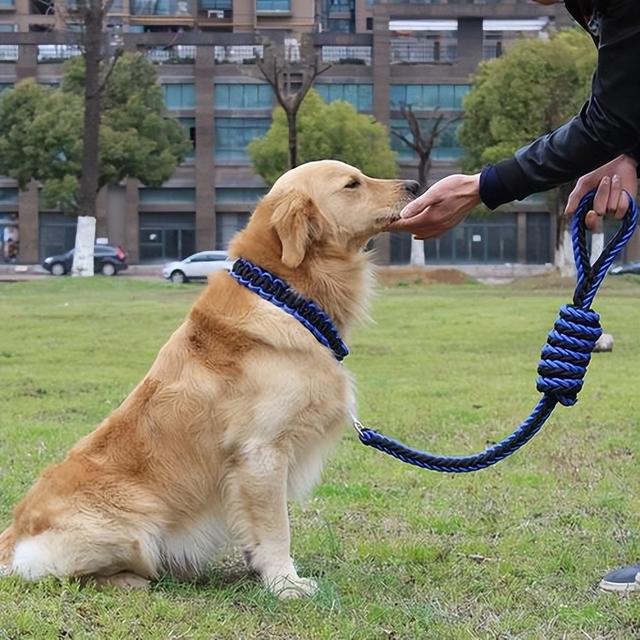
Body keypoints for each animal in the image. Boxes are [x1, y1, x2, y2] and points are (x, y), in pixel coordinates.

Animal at [0, 160, 418, 596]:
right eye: (352, 184)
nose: (414, 184)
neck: (285, 294)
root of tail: (11, 541)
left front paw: (260, 570)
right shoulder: (261, 452)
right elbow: (277, 528)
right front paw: (285, 584)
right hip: (137, 523)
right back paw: (133, 579)